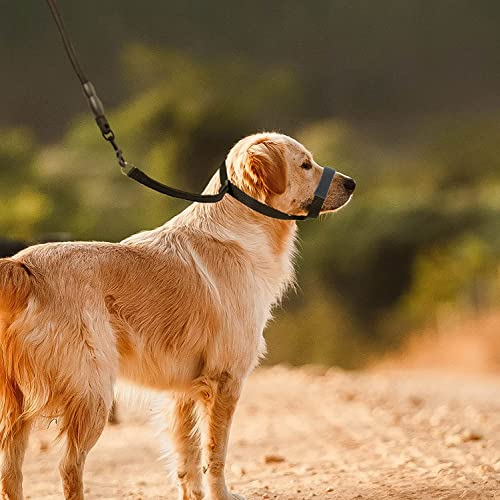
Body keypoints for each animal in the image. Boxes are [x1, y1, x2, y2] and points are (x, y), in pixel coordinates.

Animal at [0, 131, 356, 498]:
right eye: (305, 164)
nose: (352, 183)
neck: (242, 227)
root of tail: (21, 265)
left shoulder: (182, 390)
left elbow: (187, 457)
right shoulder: (224, 379)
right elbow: (215, 454)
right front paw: (221, 493)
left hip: (17, 406)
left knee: (10, 472)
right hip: (92, 393)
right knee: (68, 467)